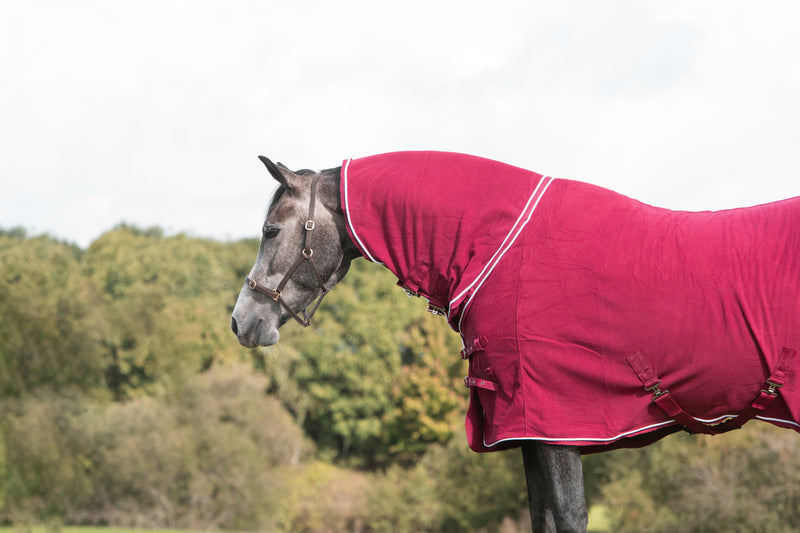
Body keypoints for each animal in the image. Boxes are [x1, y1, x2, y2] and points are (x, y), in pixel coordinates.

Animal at [231, 151, 800, 532]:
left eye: (271, 230)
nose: (241, 321)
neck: (503, 249)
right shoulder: (525, 430)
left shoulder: (553, 424)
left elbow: (567, 516)